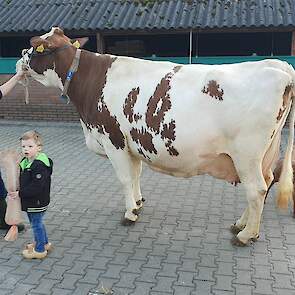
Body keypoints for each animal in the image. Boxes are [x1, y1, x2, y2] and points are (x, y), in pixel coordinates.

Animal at [17, 27, 295, 246]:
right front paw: (139, 202)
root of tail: (278, 67)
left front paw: (130, 213)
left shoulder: (113, 140)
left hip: (246, 154)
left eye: (36, 47)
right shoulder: (132, 143)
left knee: (256, 189)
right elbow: (136, 175)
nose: (20, 59)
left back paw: (245, 235)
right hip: (263, 155)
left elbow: (124, 178)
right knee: (266, 183)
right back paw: (240, 224)